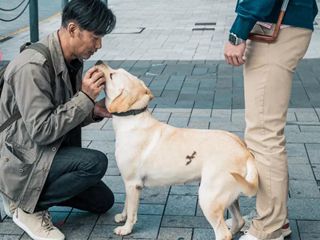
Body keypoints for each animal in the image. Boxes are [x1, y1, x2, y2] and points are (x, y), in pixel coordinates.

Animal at [95, 61, 258, 239]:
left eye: (112, 75)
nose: (99, 62)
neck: (132, 117)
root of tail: (245, 152)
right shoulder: (128, 182)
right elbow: (126, 204)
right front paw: (122, 217)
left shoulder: (133, 183)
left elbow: (132, 210)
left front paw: (126, 228)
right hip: (230, 194)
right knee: (238, 221)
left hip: (209, 196)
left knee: (223, 233)